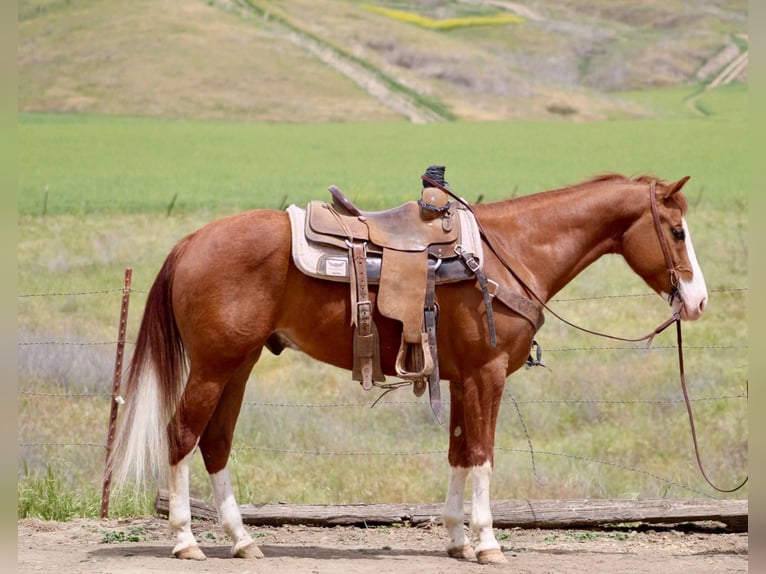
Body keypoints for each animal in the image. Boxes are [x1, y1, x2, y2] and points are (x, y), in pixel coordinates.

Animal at [108, 173, 708, 564]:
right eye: (677, 232)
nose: (698, 301)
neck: (509, 253)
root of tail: (191, 242)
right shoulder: (487, 375)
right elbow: (484, 456)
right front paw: (488, 543)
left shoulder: (462, 380)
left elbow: (460, 453)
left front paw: (457, 540)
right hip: (214, 365)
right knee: (181, 435)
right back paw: (186, 541)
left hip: (239, 364)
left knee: (216, 442)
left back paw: (242, 541)